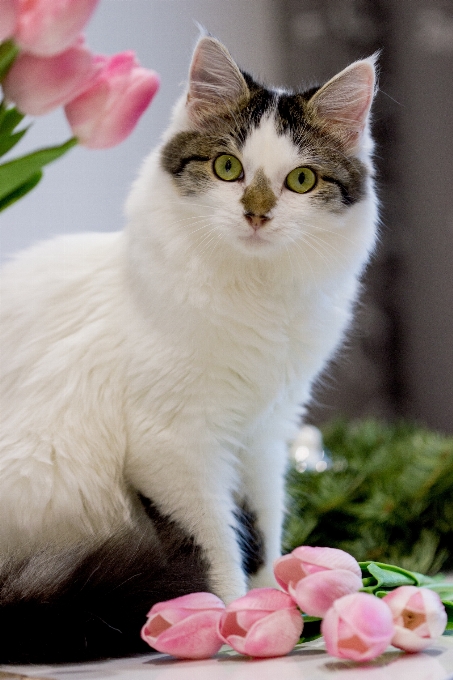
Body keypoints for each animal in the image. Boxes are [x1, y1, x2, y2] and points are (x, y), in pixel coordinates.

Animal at [0, 34, 376, 660]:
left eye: (301, 180)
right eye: (228, 168)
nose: (256, 212)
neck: (255, 295)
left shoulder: (266, 433)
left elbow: (263, 528)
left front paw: (277, 602)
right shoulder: (174, 447)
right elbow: (217, 543)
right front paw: (226, 618)